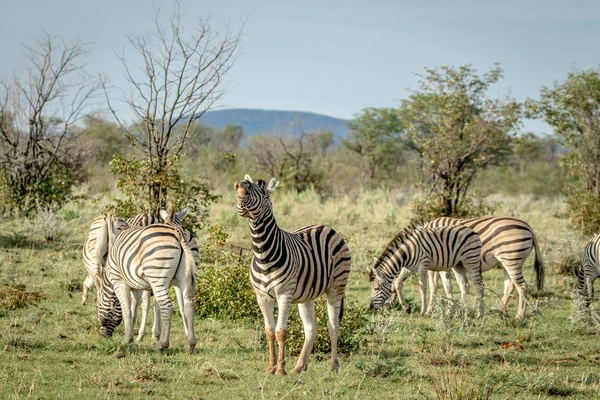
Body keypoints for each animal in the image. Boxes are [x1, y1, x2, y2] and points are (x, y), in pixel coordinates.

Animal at [97, 208, 198, 352]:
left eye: (99, 306)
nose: (103, 337)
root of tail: (177, 233)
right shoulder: (136, 286)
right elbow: (134, 311)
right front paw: (132, 339)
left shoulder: (119, 282)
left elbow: (127, 310)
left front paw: (127, 340)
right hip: (185, 277)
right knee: (188, 304)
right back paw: (190, 344)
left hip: (158, 277)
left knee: (167, 306)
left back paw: (162, 344)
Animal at [236, 175, 352, 376]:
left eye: (264, 193)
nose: (242, 185)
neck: (262, 253)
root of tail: (324, 226)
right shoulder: (261, 297)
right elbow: (269, 331)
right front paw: (270, 367)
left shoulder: (284, 294)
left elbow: (281, 332)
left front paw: (280, 370)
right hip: (307, 295)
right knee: (311, 327)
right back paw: (299, 366)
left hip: (336, 287)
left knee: (333, 326)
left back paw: (333, 366)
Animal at [386, 217, 548, 318]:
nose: (386, 309)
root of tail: (529, 227)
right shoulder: (445, 262)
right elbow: (448, 287)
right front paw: (451, 310)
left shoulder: (434, 263)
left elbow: (434, 287)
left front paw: (430, 310)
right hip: (507, 261)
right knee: (510, 286)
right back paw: (497, 310)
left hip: (511, 259)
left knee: (522, 286)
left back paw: (519, 315)